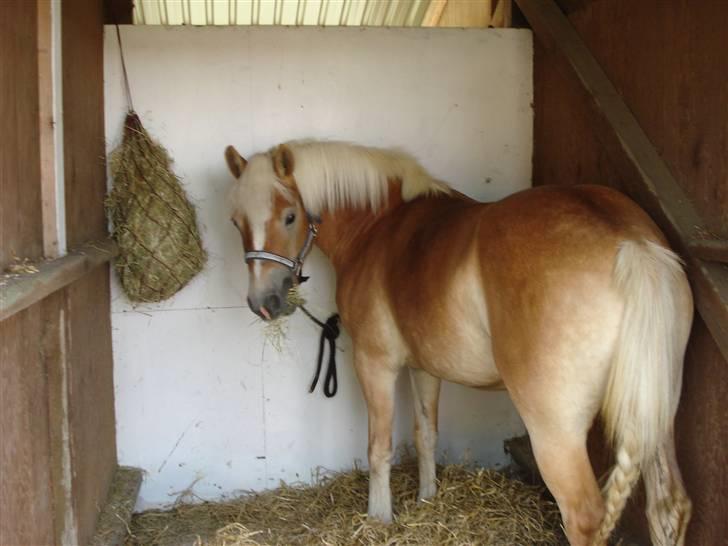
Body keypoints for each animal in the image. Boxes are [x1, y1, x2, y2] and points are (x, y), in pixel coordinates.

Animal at [225, 139, 692, 544]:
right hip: (654, 417)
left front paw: (379, 518)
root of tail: (630, 242)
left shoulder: (374, 363)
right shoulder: (423, 367)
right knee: (668, 507)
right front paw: (427, 499)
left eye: (289, 216)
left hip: (555, 431)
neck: (378, 227)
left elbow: (379, 447)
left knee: (584, 516)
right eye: (234, 221)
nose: (264, 302)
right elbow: (426, 433)